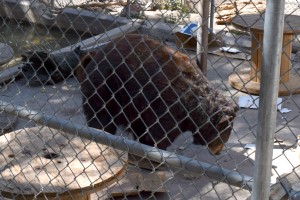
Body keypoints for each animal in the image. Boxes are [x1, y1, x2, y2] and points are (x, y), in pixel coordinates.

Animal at [80, 34, 239, 155]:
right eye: (222, 137)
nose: (218, 151)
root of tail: (96, 55)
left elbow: (143, 127)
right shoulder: (168, 104)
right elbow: (160, 133)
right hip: (107, 84)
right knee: (101, 114)